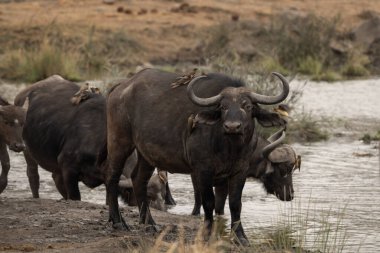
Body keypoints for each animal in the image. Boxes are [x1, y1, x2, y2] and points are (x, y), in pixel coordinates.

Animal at [105, 68, 290, 245]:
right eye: (223, 107)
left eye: (248, 106)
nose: (232, 127)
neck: (229, 147)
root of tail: (120, 88)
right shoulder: (202, 170)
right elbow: (208, 201)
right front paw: (208, 234)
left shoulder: (240, 171)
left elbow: (235, 204)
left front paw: (240, 237)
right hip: (119, 142)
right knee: (112, 177)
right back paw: (118, 221)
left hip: (147, 154)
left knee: (138, 180)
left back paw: (149, 223)